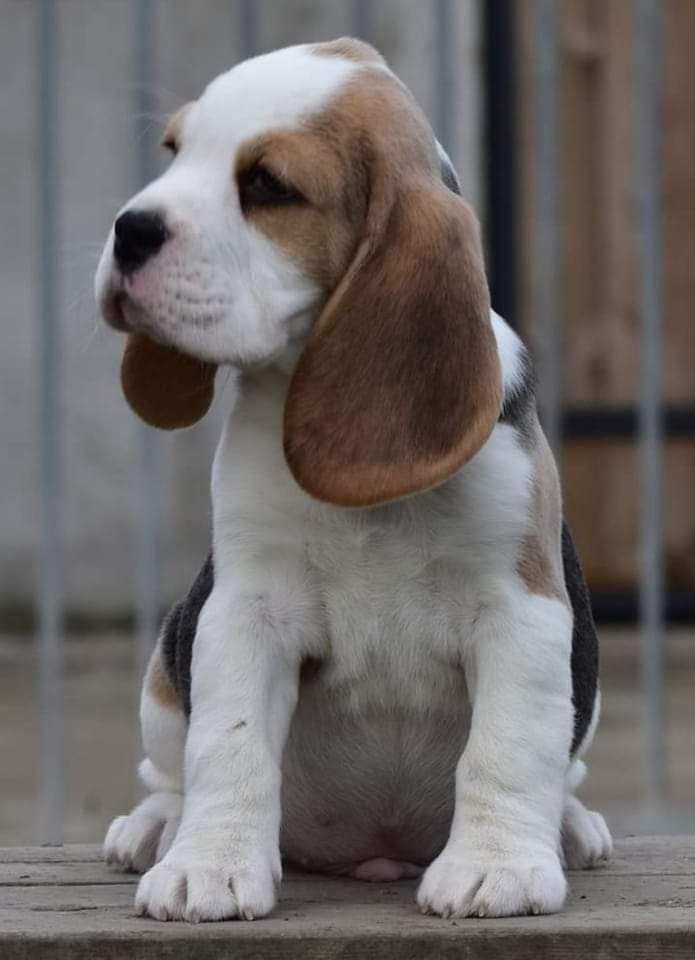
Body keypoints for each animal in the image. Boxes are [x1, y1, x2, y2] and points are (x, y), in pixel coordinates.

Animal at [96, 39, 608, 924]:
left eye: (268, 185)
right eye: (173, 151)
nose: (128, 229)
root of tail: (378, 852)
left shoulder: (523, 608)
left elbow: (506, 746)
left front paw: (496, 867)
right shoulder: (244, 609)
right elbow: (227, 746)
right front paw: (208, 866)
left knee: (561, 768)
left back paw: (571, 826)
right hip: (166, 664)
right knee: (168, 767)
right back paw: (153, 828)